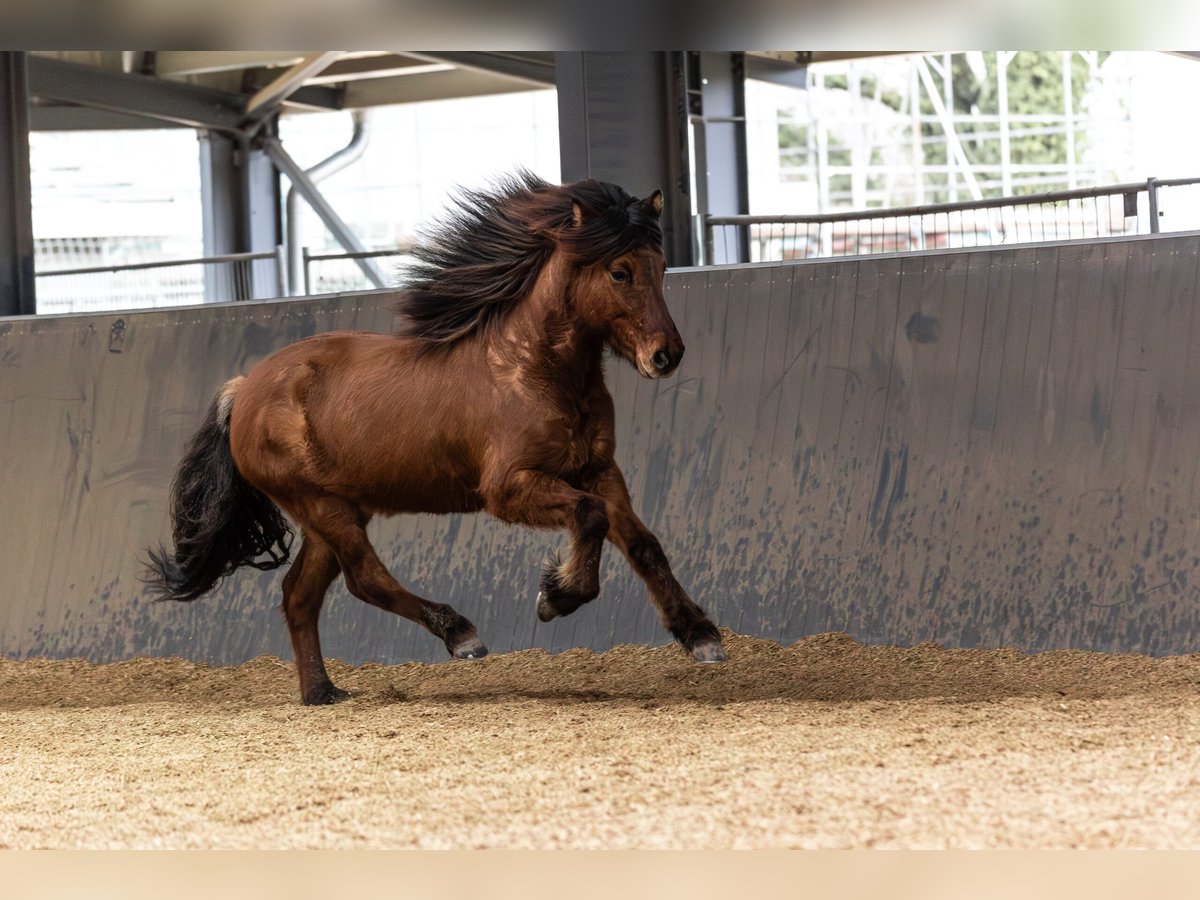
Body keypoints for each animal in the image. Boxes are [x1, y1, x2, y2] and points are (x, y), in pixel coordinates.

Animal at [140, 174, 720, 705]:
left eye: (660, 267)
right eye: (620, 271)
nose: (667, 354)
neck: (532, 370)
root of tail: (243, 389)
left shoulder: (598, 469)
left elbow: (643, 544)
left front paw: (701, 636)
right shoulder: (509, 489)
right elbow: (589, 517)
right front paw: (556, 596)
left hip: (333, 511)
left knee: (299, 595)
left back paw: (322, 692)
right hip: (322, 506)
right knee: (364, 579)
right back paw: (461, 635)